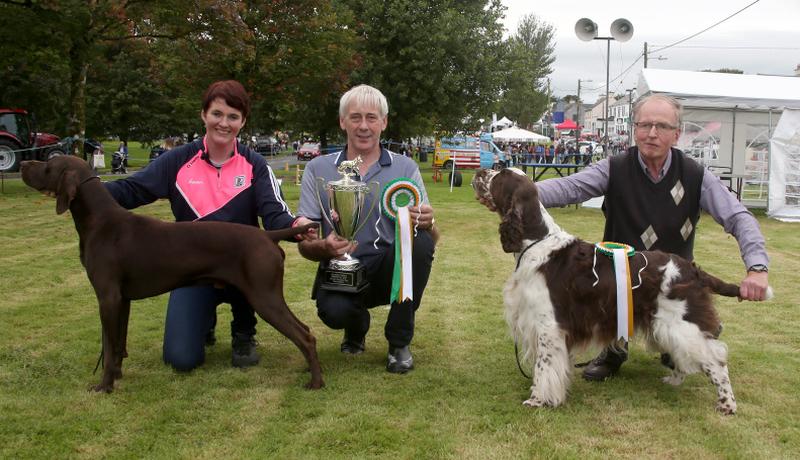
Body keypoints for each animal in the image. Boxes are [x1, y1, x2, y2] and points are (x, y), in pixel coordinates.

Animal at [19, 156, 318, 394]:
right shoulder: (122, 300)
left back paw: (316, 382)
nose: (22, 163)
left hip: (263, 295)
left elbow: (108, 345)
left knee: (304, 336)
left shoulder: (107, 297)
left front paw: (105, 386)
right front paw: (117, 376)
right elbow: (118, 345)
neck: (100, 222)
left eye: (48, 163)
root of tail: (268, 235)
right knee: (306, 331)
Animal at [472, 169, 764, 416]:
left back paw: (727, 404)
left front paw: (539, 400)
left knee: (716, 361)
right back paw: (674, 380)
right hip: (664, 325)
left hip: (682, 325)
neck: (536, 243)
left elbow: (544, 367)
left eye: (500, 176)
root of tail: (692, 270)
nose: (479, 171)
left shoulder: (549, 326)